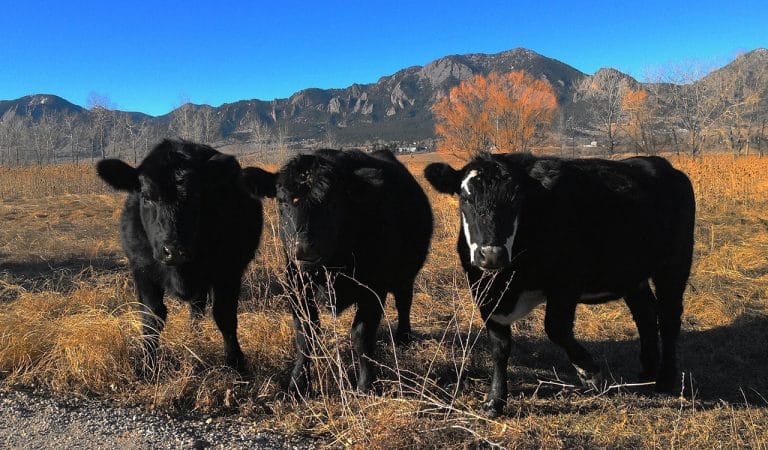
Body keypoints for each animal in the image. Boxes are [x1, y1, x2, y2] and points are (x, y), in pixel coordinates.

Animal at [96, 139, 264, 374]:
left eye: (196, 197)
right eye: (146, 197)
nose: (174, 250)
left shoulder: (228, 270)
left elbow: (225, 315)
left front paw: (236, 362)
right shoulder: (141, 269)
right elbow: (151, 316)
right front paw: (147, 365)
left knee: (198, 308)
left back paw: (196, 337)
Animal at [242, 149, 433, 393]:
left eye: (332, 203)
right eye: (281, 201)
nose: (303, 247)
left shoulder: (373, 288)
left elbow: (361, 335)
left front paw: (365, 385)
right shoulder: (297, 286)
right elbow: (306, 334)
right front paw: (298, 383)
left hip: (406, 273)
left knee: (404, 301)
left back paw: (403, 337)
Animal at [424, 152, 695, 417]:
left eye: (517, 200)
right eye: (466, 198)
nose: (492, 254)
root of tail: (661, 164)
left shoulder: (566, 283)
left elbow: (556, 328)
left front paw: (590, 374)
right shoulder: (485, 295)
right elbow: (500, 347)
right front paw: (495, 402)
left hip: (675, 264)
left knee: (669, 318)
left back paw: (665, 379)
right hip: (632, 274)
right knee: (645, 314)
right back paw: (647, 372)